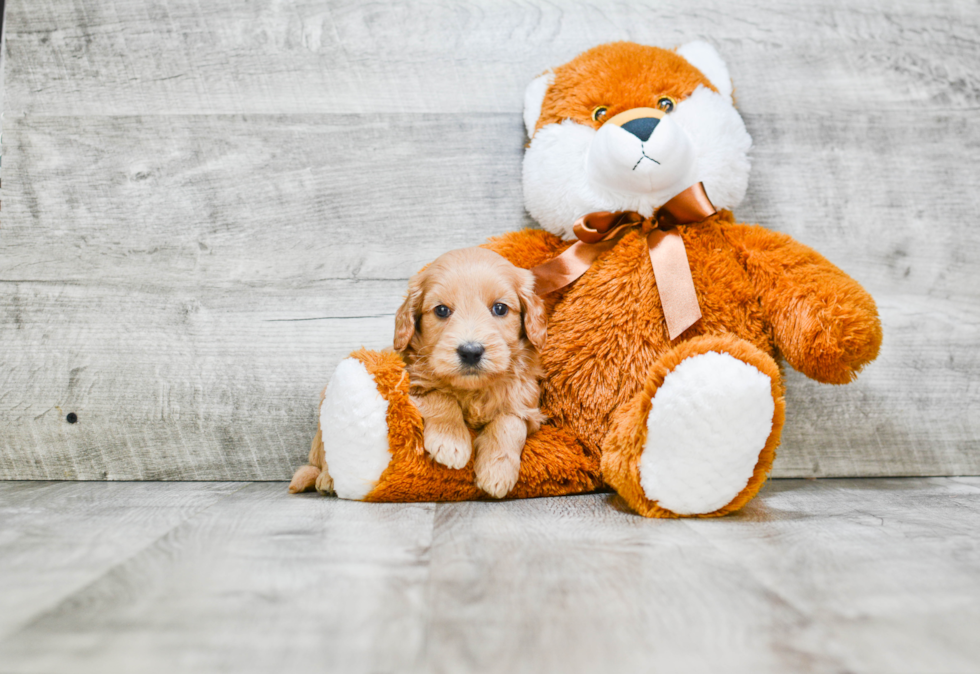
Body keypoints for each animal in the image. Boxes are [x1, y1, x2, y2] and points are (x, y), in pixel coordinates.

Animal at [394, 245, 548, 494]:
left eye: (500, 308)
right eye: (442, 310)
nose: (471, 352)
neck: (474, 389)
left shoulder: (525, 403)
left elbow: (509, 423)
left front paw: (497, 470)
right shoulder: (414, 384)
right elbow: (441, 397)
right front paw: (450, 442)